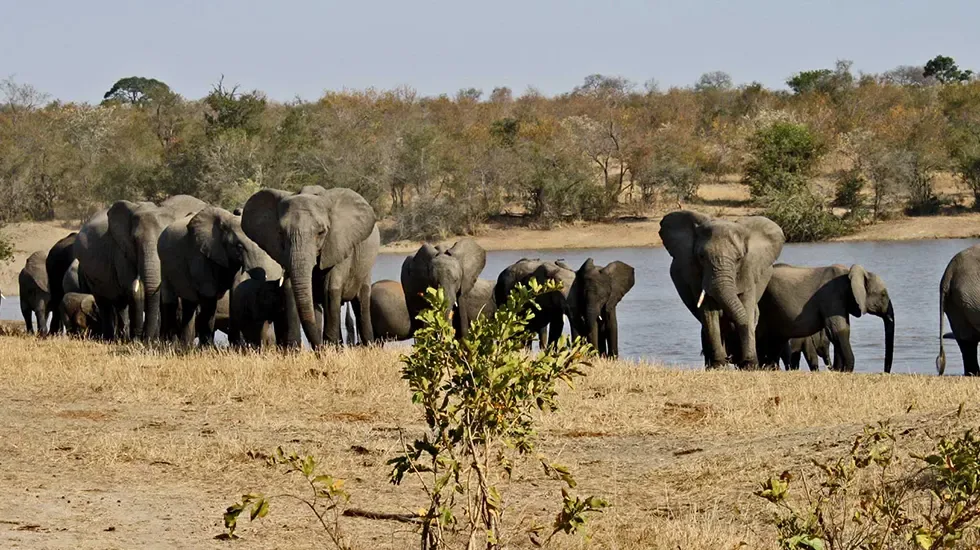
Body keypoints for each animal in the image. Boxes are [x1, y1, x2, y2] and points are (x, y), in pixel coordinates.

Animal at [74, 195, 207, 341]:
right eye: (134, 240)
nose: (144, 339)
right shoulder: (121, 251)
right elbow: (130, 287)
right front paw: (138, 341)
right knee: (105, 303)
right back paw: (112, 339)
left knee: (119, 304)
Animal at [158, 206, 281, 346]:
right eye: (239, 247)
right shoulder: (199, 254)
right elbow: (209, 295)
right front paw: (207, 348)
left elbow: (234, 290)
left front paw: (235, 346)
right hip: (164, 265)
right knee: (170, 300)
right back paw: (170, 345)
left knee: (189, 304)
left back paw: (185, 347)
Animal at [242, 186, 379, 349]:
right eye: (280, 233)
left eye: (321, 232)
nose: (319, 348)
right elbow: (289, 289)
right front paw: (296, 350)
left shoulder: (338, 244)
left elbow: (330, 289)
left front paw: (330, 348)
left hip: (365, 268)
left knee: (360, 302)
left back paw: (367, 346)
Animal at [659, 210, 785, 369]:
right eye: (701, 257)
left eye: (738, 259)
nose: (734, 358)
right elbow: (709, 312)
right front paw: (719, 365)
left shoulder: (749, 270)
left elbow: (746, 306)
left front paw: (750, 365)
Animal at [755, 263, 895, 373]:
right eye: (883, 294)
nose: (885, 372)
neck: (849, 274)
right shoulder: (831, 296)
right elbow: (838, 331)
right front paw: (847, 371)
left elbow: (840, 332)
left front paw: (840, 371)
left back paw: (769, 368)